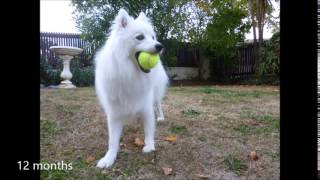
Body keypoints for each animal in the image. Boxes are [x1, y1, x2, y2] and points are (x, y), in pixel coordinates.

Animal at [93, 8, 168, 169]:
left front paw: (149, 146)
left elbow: (149, 129)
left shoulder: (146, 107)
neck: (131, 74)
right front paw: (109, 158)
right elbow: (112, 140)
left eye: (153, 37)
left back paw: (161, 117)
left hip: (156, 95)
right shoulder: (114, 113)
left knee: (158, 105)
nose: (159, 46)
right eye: (140, 37)